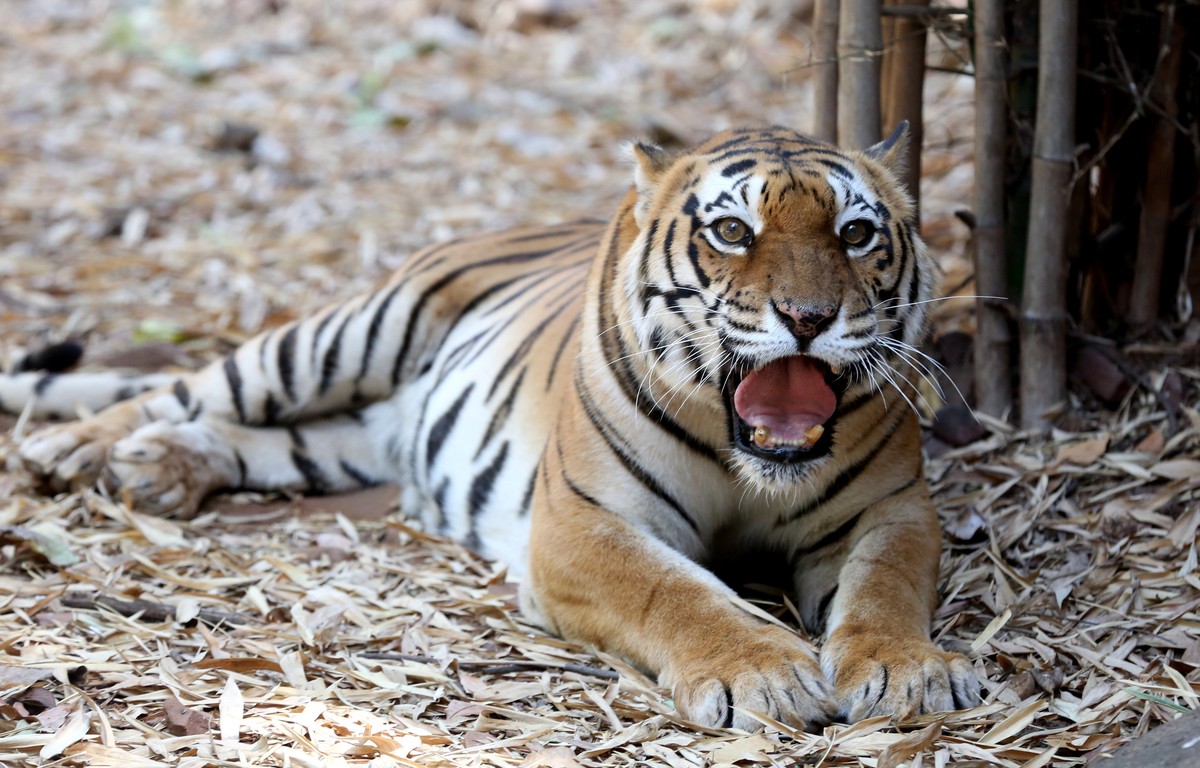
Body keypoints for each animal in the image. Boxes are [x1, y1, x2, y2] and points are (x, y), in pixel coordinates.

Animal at [4, 124, 977, 730]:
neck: (750, 465)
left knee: (261, 440)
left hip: (354, 438)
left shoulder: (892, 509)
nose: (809, 318)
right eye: (734, 230)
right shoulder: (581, 523)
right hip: (344, 336)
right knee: (194, 385)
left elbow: (885, 588)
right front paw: (764, 673)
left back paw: (160, 467)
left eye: (856, 234)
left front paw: (911, 671)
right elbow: (678, 593)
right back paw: (80, 448)